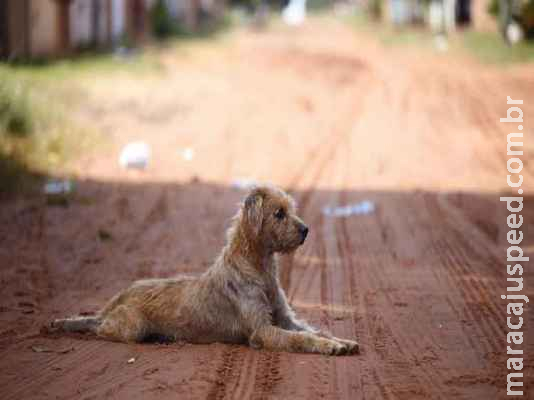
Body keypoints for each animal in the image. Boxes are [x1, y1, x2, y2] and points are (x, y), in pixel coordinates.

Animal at [51, 185, 360, 356]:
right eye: (279, 213)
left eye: (291, 209)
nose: (306, 230)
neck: (258, 267)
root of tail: (121, 295)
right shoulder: (262, 330)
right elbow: (300, 338)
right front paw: (330, 348)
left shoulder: (285, 318)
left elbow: (316, 330)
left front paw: (340, 341)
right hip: (130, 327)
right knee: (100, 328)